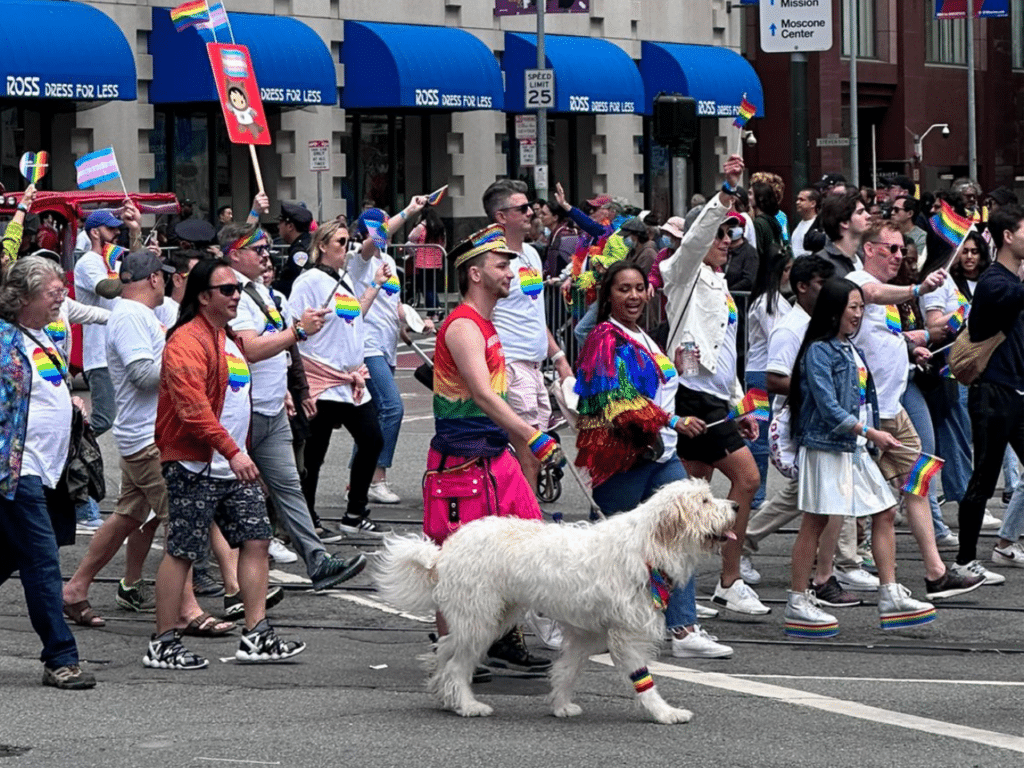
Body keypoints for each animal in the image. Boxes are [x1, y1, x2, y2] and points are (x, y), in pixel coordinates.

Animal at [376, 481, 737, 729]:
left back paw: (443, 693)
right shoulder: (627, 635)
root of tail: (442, 552)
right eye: (704, 501)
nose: (734, 505)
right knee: (456, 665)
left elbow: (567, 670)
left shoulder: (585, 633)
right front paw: (664, 712)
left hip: (485, 618)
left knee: (446, 650)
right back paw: (466, 705)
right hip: (481, 620)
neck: (648, 546)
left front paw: (561, 705)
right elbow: (643, 680)